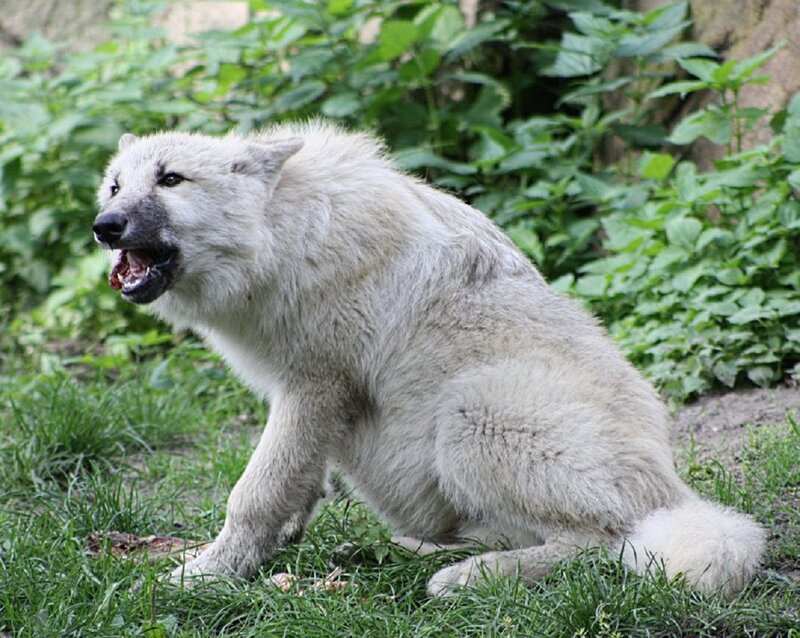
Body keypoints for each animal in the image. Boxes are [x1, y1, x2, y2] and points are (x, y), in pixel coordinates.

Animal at [93, 122, 764, 597]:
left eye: (172, 180)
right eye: (116, 185)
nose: (105, 225)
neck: (285, 234)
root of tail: (673, 494)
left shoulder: (313, 388)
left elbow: (255, 491)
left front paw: (212, 572)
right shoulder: (308, 401)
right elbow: (296, 485)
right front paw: (263, 548)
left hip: (471, 416)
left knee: (602, 541)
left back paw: (468, 577)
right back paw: (410, 552)